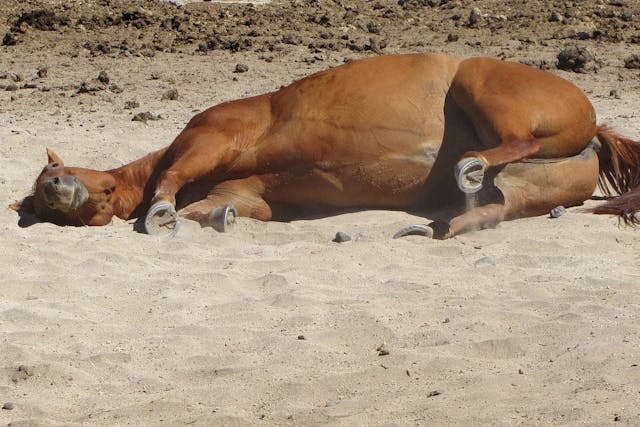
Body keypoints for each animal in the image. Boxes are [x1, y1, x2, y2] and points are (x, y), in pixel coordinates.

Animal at [11, 52, 640, 239]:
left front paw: (160, 209)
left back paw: (469, 165)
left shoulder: (210, 138)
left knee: (510, 142)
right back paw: (432, 224)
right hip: (529, 185)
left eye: (49, 176)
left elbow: (170, 185)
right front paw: (209, 217)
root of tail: (593, 127)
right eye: (38, 198)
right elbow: (219, 207)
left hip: (481, 86)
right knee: (488, 209)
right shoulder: (252, 192)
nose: (57, 186)